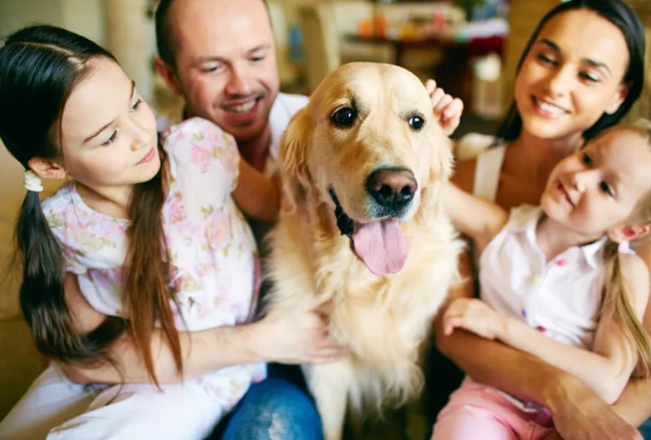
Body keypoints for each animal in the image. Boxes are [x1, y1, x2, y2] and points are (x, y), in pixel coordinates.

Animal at [264, 62, 458, 440]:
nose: (396, 189)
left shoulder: (416, 350)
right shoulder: (326, 372)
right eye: (345, 115)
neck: (364, 280)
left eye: (417, 121)